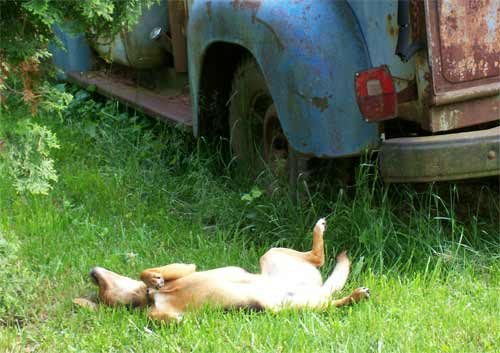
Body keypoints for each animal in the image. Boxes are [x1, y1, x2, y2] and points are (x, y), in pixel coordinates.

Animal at [75, 216, 372, 320]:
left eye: (102, 284)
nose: (92, 271)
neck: (153, 298)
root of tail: (318, 288)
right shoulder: (161, 313)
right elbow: (162, 318)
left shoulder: (185, 269)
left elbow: (147, 271)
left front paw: (154, 277)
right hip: (290, 307)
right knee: (331, 298)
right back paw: (355, 296)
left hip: (271, 254)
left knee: (318, 257)